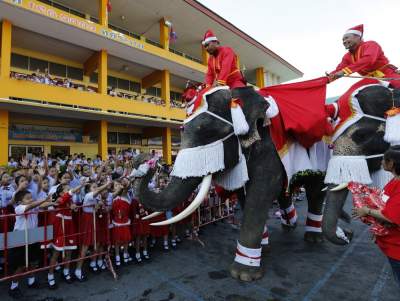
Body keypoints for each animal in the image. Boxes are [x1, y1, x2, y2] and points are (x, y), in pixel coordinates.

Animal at [136, 85, 326, 280]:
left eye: (208, 131)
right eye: (182, 129)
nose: (148, 160)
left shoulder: (268, 148)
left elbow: (260, 194)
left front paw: (243, 273)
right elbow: (244, 194)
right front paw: (263, 251)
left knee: (315, 191)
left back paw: (313, 238)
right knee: (286, 190)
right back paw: (290, 224)